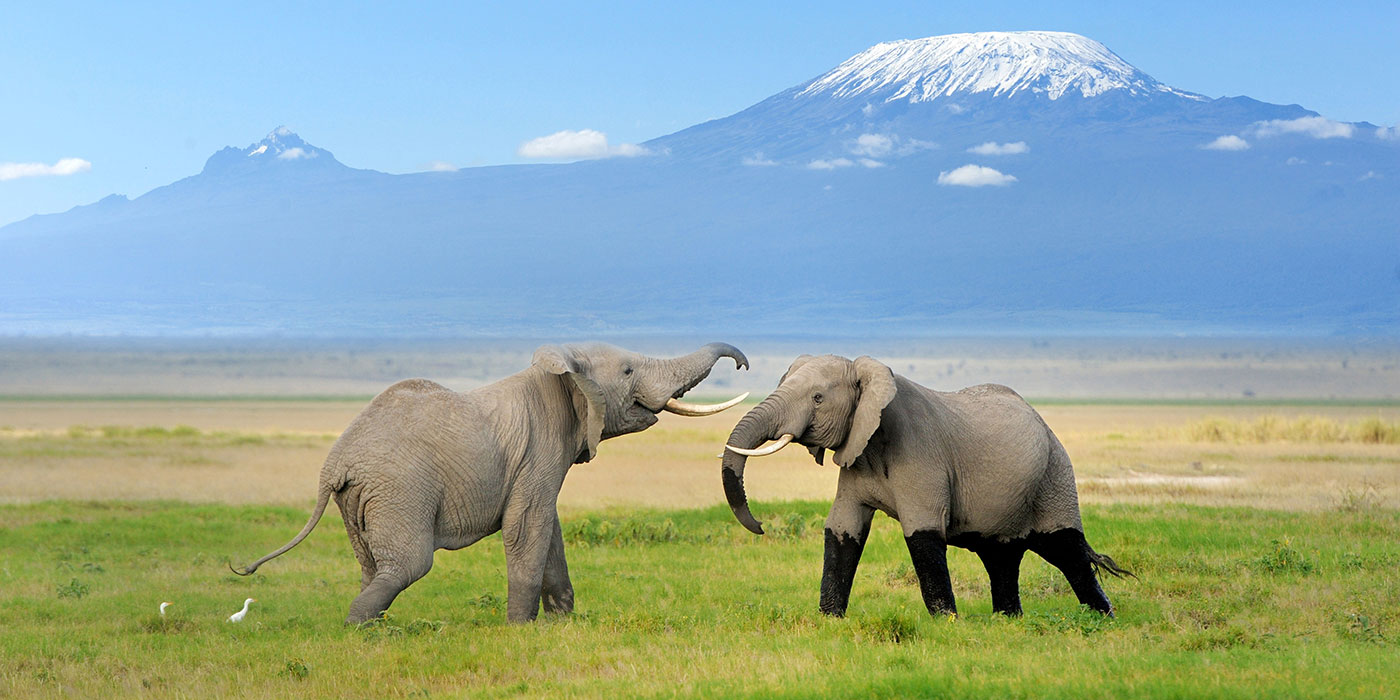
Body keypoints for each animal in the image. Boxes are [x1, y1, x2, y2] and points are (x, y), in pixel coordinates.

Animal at [233, 342, 749, 623]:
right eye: (627, 372)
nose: (743, 364)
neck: (559, 370)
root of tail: (333, 467)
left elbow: (549, 529)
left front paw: (563, 624)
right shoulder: (540, 450)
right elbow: (528, 526)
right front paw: (521, 629)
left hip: (359, 500)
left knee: (372, 567)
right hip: (398, 489)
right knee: (409, 566)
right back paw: (360, 630)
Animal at [720, 354, 1130, 619]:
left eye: (818, 398)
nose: (760, 526)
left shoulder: (921, 456)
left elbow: (922, 533)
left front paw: (946, 624)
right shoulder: (857, 452)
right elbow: (842, 529)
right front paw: (829, 620)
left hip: (1054, 474)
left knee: (1066, 550)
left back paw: (1103, 619)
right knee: (1002, 557)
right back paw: (1007, 621)